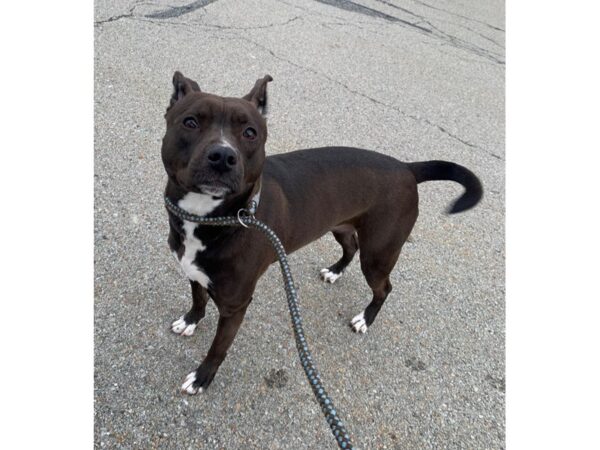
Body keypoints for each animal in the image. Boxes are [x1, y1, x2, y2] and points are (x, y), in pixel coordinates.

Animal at [163, 71, 482, 394]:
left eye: (250, 132)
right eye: (190, 122)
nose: (222, 156)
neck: (220, 218)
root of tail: (406, 168)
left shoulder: (234, 306)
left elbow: (218, 348)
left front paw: (202, 377)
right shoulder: (193, 272)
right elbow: (198, 298)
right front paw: (191, 321)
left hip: (378, 254)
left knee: (383, 287)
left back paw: (365, 319)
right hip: (340, 226)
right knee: (350, 247)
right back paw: (335, 271)